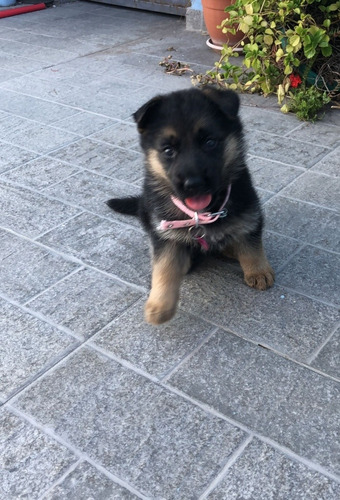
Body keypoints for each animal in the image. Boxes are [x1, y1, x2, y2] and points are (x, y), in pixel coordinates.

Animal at [107, 87, 274, 324]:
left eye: (210, 142)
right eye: (168, 151)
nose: (193, 184)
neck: (201, 213)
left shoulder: (248, 213)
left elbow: (251, 245)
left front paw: (258, 271)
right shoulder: (165, 234)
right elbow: (165, 267)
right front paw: (159, 305)